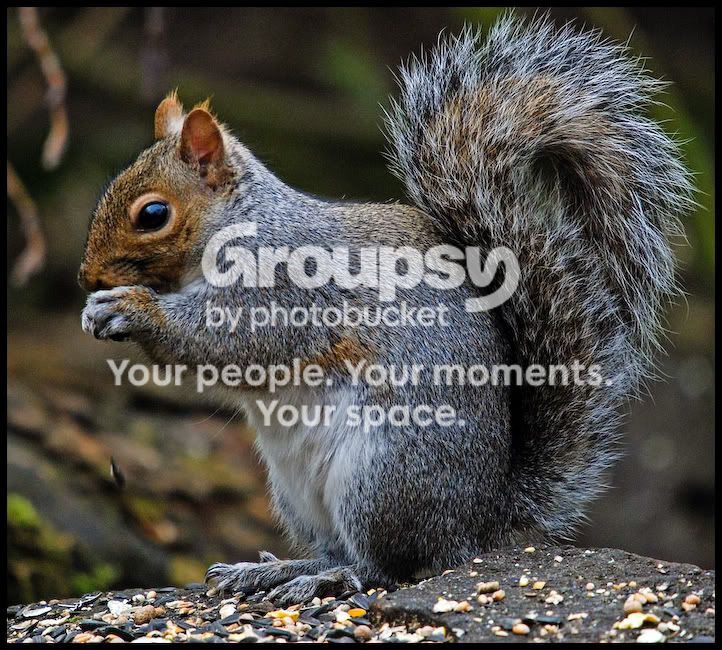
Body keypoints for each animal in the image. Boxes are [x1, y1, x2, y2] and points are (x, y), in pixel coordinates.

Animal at [79, 15, 692, 604]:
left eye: (153, 214)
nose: (87, 276)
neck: (238, 224)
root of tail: (475, 525)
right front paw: (96, 309)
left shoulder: (283, 287)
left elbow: (229, 340)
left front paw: (131, 308)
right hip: (297, 492)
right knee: (337, 547)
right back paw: (277, 570)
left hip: (381, 476)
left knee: (386, 566)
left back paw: (332, 578)